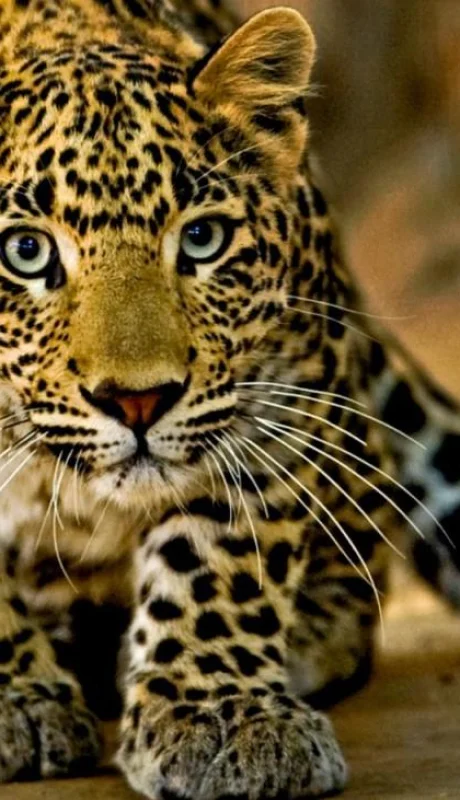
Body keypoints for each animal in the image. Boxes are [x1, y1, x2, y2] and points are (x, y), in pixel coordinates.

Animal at [0, 1, 459, 798]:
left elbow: (220, 554)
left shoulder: (282, 386)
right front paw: (16, 702)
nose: (139, 403)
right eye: (25, 252)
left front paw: (220, 713)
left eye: (203, 240)